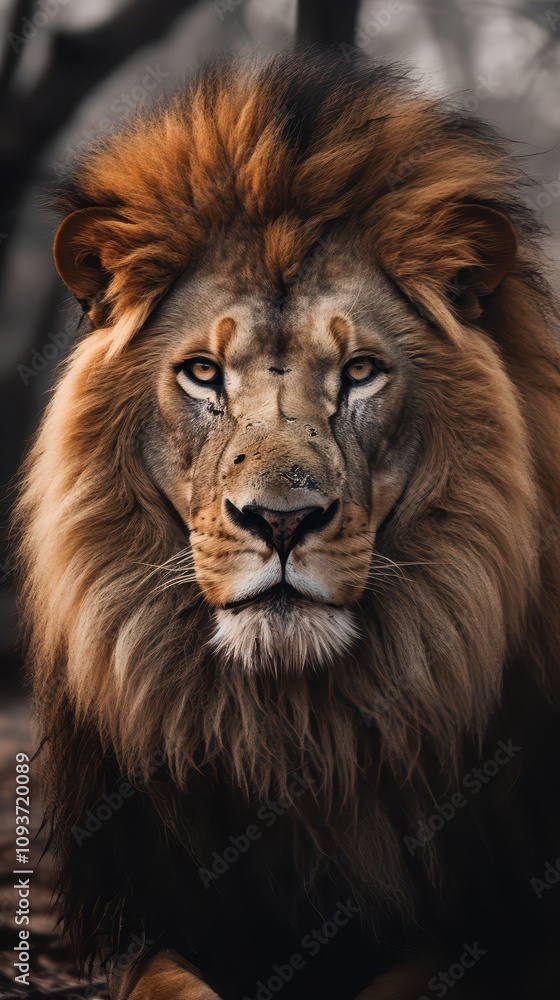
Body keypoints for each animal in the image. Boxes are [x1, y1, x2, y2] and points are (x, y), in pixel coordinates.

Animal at [15, 52, 560, 999]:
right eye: (202, 374)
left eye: (362, 371)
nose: (280, 521)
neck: (295, 728)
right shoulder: (153, 916)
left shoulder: (494, 928)